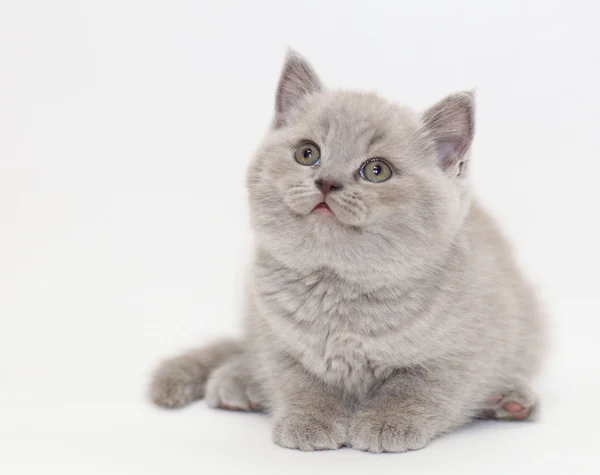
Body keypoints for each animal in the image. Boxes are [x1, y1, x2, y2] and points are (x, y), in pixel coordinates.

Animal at [149, 51, 544, 454]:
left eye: (377, 170)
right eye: (307, 153)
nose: (327, 182)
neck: (339, 289)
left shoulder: (467, 352)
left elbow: (418, 386)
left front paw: (388, 422)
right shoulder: (275, 337)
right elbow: (299, 382)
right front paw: (309, 421)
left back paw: (510, 400)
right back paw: (238, 384)